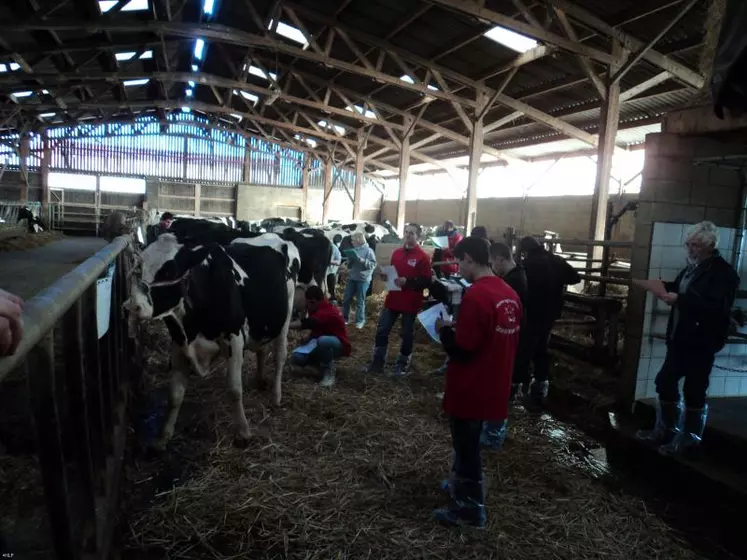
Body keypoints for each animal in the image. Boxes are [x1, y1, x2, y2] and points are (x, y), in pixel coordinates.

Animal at [124, 230, 300, 448]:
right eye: (139, 268)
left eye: (169, 272)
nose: (132, 306)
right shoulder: (179, 343)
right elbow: (174, 395)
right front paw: (163, 437)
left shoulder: (234, 339)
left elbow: (234, 389)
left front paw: (243, 433)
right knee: (262, 349)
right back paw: (261, 380)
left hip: (286, 313)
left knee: (280, 355)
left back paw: (276, 396)